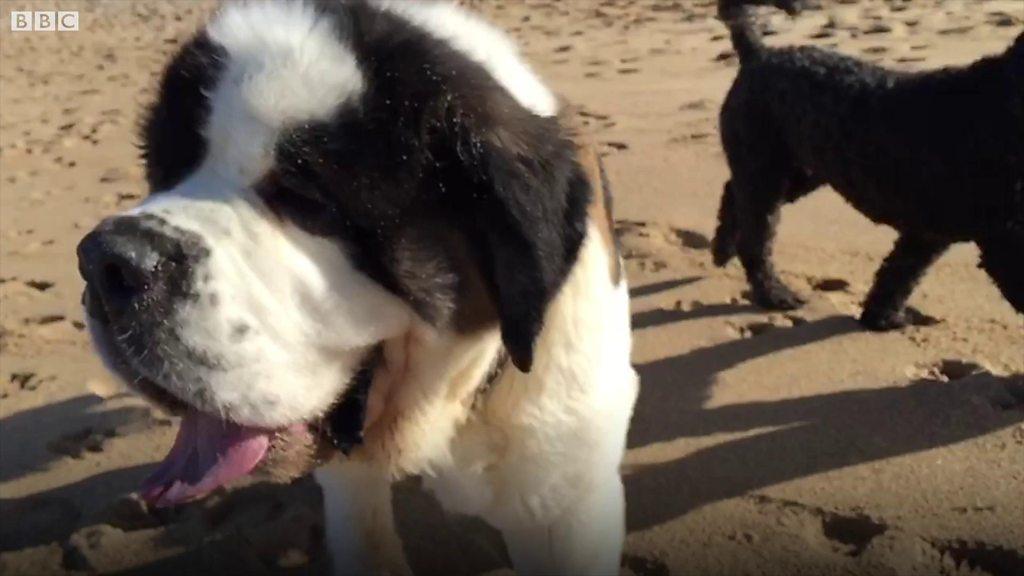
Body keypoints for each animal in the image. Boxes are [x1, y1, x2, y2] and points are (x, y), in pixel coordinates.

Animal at [712, 0, 1024, 327]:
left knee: (733, 196)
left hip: (797, 175)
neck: (1004, 101)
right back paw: (774, 294)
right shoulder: (1003, 239)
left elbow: (898, 273)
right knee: (755, 241)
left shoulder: (929, 231)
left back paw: (722, 252)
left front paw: (881, 317)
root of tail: (757, 55)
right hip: (766, 173)